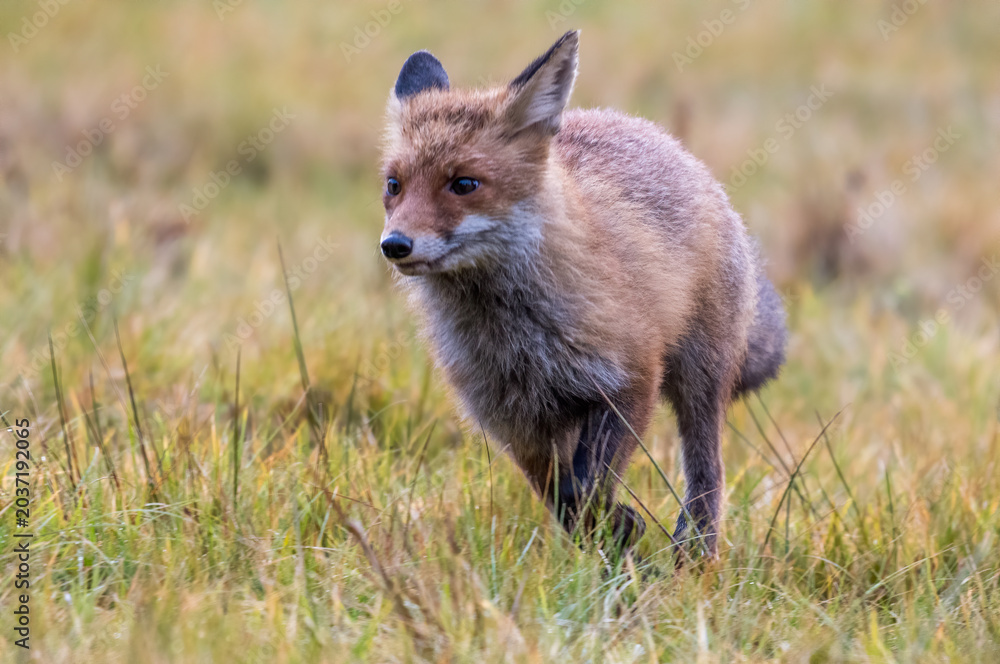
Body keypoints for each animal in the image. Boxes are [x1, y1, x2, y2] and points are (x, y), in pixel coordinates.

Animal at [378, 30, 786, 557]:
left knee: (707, 469)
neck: (514, 336)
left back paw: (694, 549)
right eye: (394, 185)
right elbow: (558, 495)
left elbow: (583, 487)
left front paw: (620, 529)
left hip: (700, 379)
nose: (394, 245)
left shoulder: (629, 381)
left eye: (464, 183)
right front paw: (611, 535)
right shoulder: (514, 420)